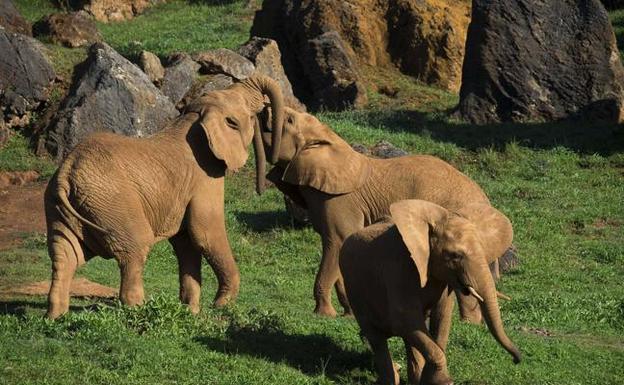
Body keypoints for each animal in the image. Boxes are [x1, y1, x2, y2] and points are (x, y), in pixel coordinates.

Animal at [44, 74, 286, 318]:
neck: (195, 118)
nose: (263, 185)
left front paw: (190, 312)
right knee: (134, 248)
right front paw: (220, 305)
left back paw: (55, 317)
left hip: (61, 207)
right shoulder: (205, 177)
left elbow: (186, 241)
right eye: (249, 114)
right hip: (110, 201)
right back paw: (138, 311)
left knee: (65, 254)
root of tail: (66, 172)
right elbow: (204, 233)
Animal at [256, 106, 510, 320]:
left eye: (289, 120)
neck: (330, 140)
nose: (264, 108)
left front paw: (324, 314)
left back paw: (470, 324)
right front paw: (349, 313)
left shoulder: (338, 200)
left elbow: (336, 242)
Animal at [338, 200, 520, 382]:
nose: (516, 360)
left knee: (408, 339)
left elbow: (441, 318)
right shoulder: (398, 269)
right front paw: (444, 382)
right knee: (378, 339)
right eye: (454, 256)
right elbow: (403, 319)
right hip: (355, 292)